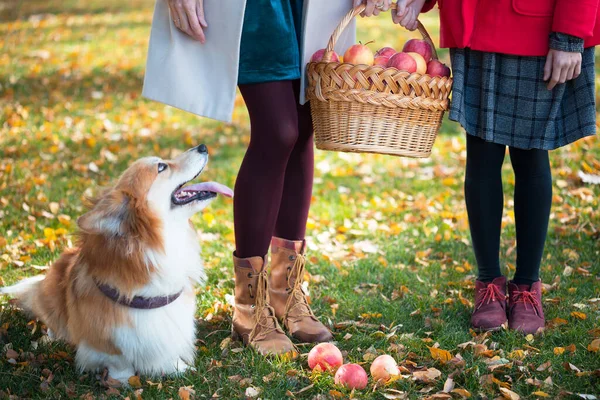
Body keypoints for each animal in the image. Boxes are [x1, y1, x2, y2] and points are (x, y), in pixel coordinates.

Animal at [0, 145, 233, 382]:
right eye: (161, 166)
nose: (202, 147)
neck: (159, 243)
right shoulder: (107, 334)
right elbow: (118, 361)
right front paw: (122, 381)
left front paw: (176, 367)